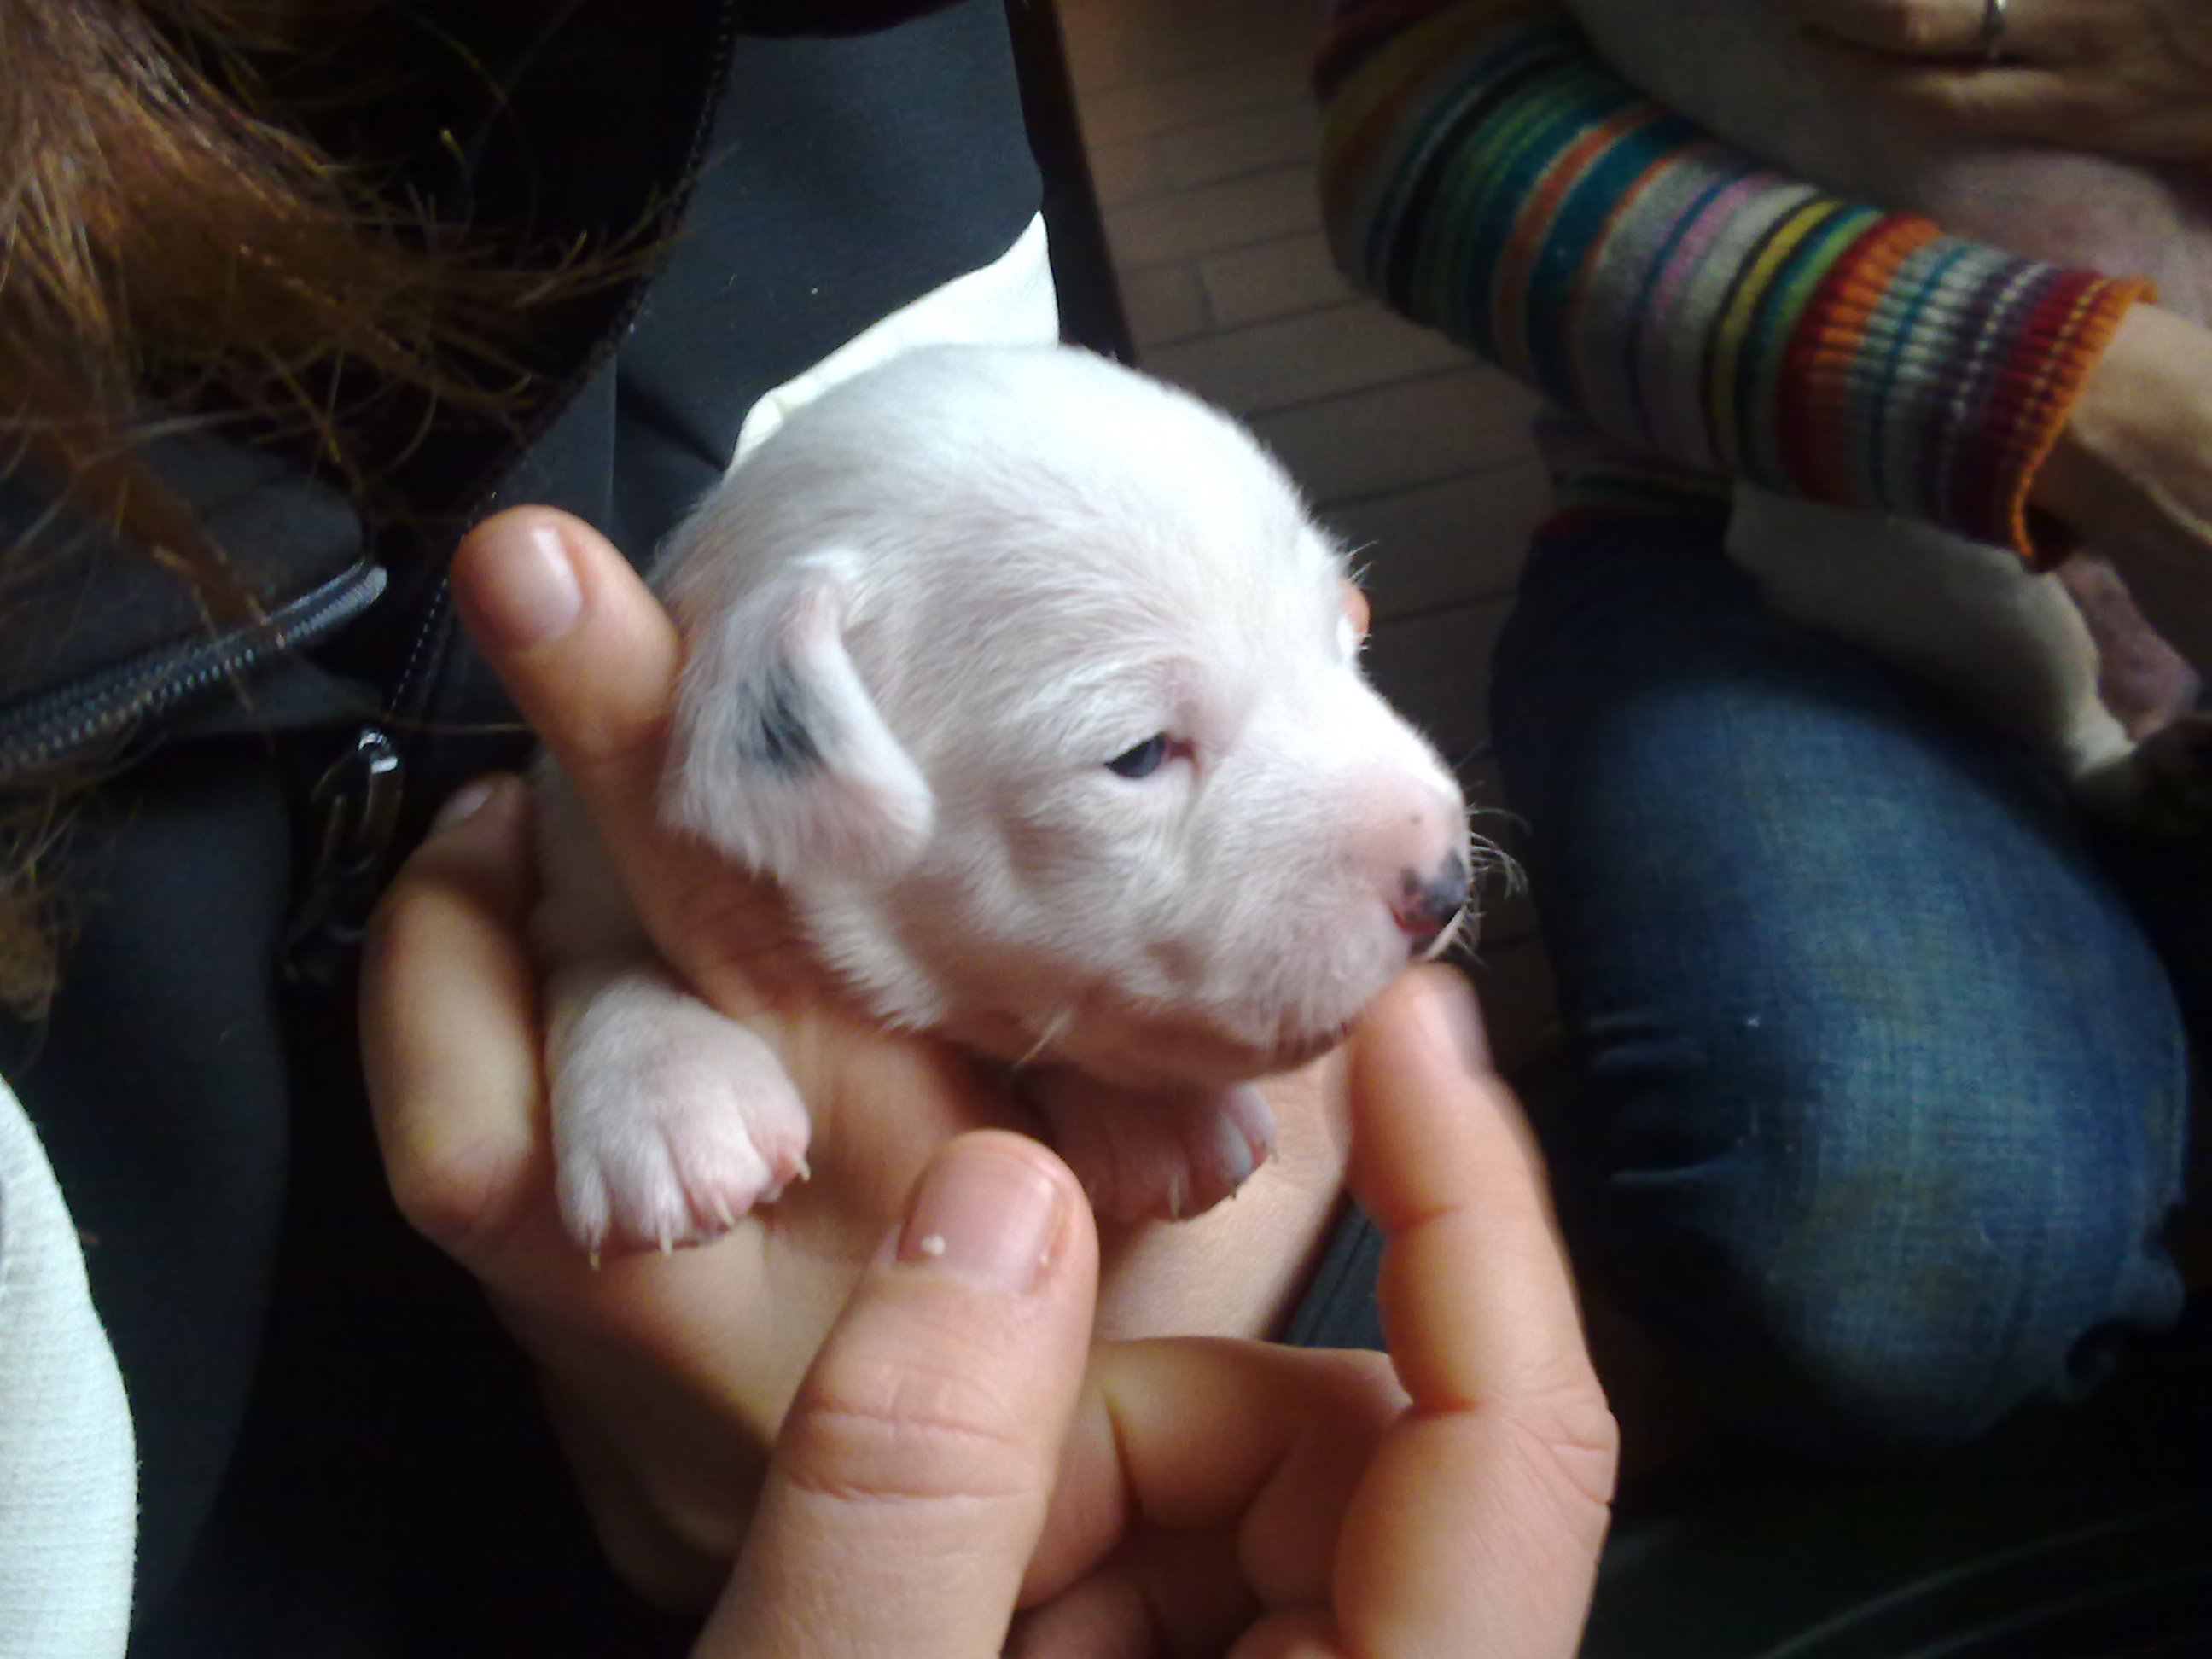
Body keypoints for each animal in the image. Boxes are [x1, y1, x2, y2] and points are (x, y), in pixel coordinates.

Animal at [530, 344, 1473, 1254]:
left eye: (1341, 642)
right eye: (1138, 754)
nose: (1449, 885)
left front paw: (1157, 1118)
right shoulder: (570, 854)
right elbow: (593, 958)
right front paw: (661, 1095)